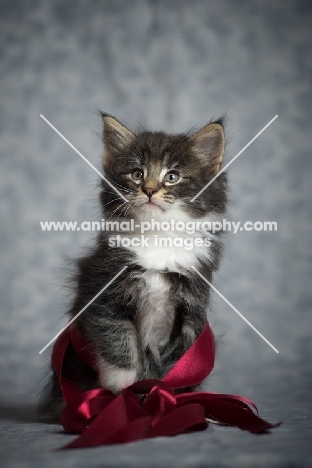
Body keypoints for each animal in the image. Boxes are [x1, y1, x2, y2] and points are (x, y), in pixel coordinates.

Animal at [39, 113, 227, 416]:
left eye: (171, 176)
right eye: (137, 173)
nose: (149, 190)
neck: (157, 238)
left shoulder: (191, 307)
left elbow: (178, 361)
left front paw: (166, 396)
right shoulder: (103, 287)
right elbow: (116, 335)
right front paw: (122, 384)